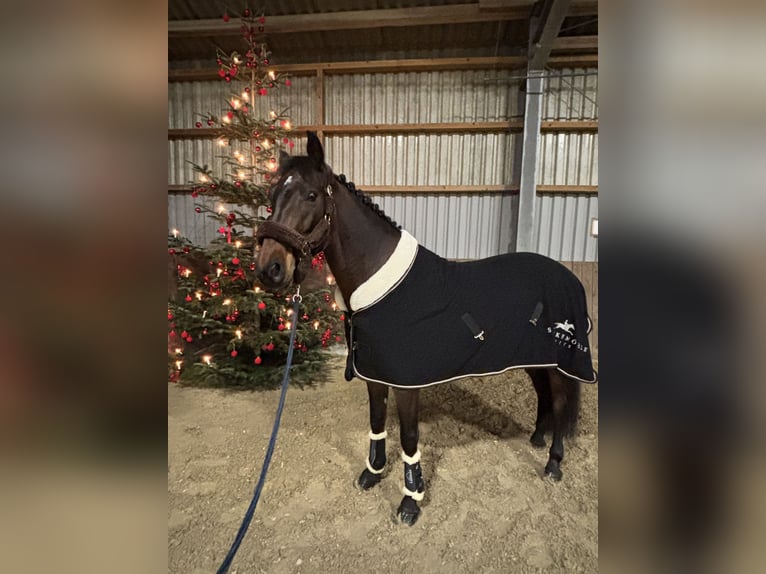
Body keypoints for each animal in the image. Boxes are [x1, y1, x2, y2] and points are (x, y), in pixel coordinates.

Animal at [255, 131, 597, 526]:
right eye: (272, 195)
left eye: (311, 195)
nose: (269, 269)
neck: (383, 285)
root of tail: (567, 275)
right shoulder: (375, 374)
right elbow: (377, 422)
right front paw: (372, 474)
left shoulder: (407, 385)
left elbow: (409, 437)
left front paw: (410, 501)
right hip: (533, 357)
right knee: (544, 396)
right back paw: (537, 439)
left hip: (559, 363)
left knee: (558, 400)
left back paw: (553, 463)